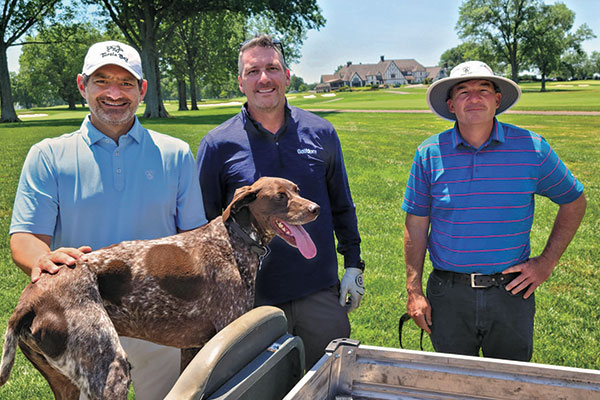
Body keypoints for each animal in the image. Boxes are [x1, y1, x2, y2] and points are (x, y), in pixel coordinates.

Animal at [0, 178, 318, 400]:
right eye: (280, 196)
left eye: (297, 189)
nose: (315, 209)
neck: (234, 240)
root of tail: (28, 300)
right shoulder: (228, 325)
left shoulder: (195, 348)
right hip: (110, 371)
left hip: (64, 381)